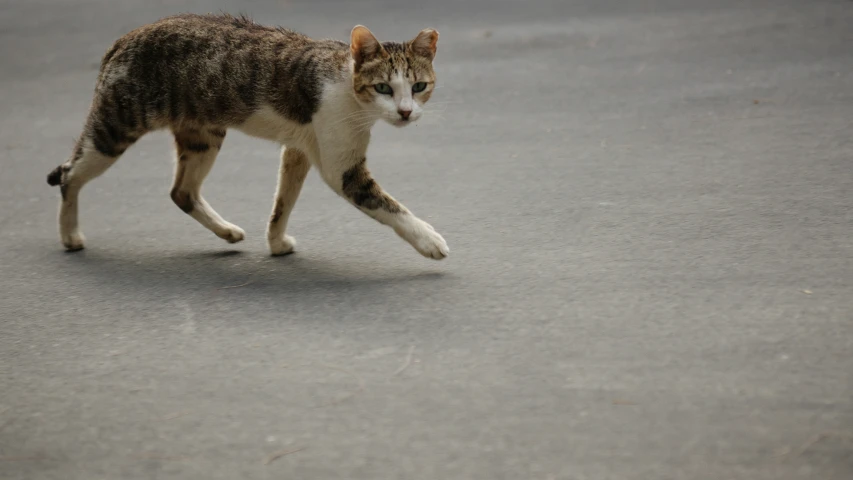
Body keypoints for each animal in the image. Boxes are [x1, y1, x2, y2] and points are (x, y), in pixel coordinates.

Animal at [47, 13, 450, 258]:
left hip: (203, 137)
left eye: (418, 87)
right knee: (68, 174)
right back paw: (69, 235)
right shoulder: (344, 170)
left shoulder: (298, 150)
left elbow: (283, 202)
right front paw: (429, 239)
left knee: (181, 192)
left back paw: (226, 232)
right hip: (114, 130)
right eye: (383, 87)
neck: (347, 88)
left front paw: (276, 241)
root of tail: (121, 40)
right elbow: (391, 206)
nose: (405, 112)